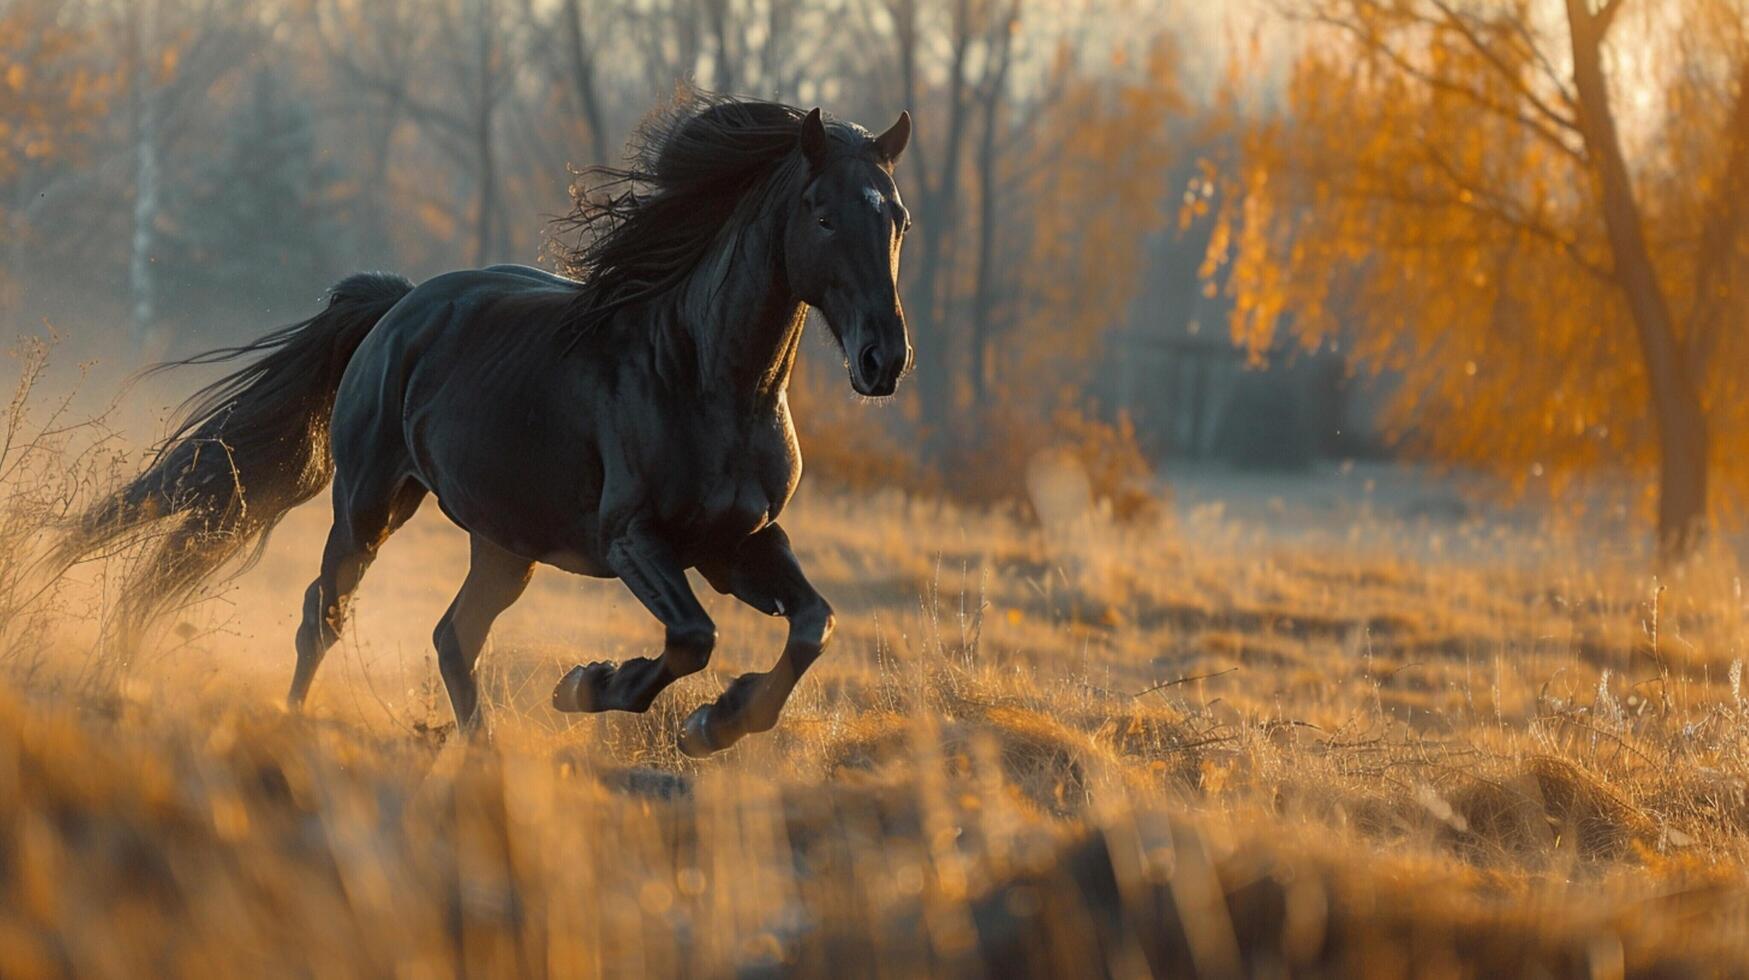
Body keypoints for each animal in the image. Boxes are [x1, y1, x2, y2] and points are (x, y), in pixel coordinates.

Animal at [64, 95, 916, 752]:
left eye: (897, 217)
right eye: (821, 215)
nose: (884, 359)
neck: (707, 380)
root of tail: (399, 304)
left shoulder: (738, 542)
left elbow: (812, 625)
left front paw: (720, 721)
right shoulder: (633, 539)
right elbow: (692, 637)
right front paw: (591, 685)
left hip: (505, 543)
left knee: (453, 635)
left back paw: (478, 748)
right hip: (370, 505)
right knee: (323, 614)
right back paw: (295, 718)